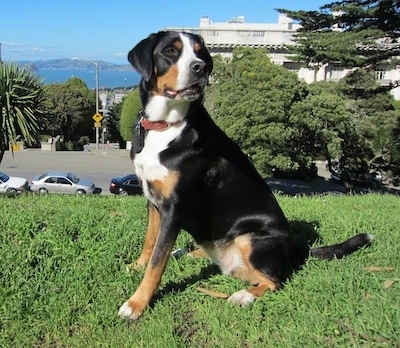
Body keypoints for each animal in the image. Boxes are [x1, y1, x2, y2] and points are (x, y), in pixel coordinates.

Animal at [118, 32, 372, 320]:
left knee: (275, 280)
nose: (200, 68)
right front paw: (137, 265)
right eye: (171, 51)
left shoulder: (175, 207)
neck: (167, 126)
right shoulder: (154, 200)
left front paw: (137, 303)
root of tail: (296, 247)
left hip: (252, 239)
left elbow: (158, 261)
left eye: (200, 52)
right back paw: (187, 251)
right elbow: (151, 243)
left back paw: (243, 295)